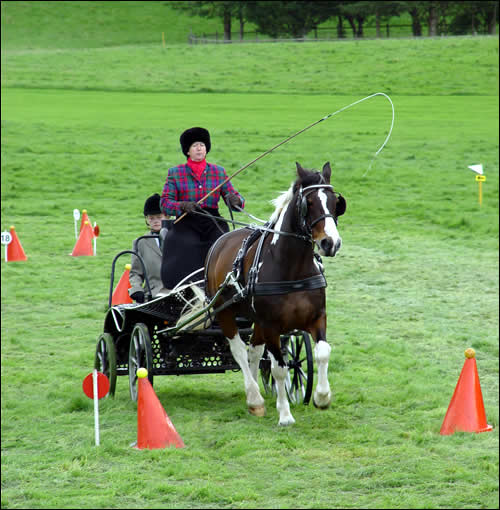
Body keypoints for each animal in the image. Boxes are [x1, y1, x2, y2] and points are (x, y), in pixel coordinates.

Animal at [205, 161, 346, 424]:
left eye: (335, 202)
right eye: (309, 202)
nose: (330, 243)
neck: (292, 268)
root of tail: (222, 241)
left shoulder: (316, 317)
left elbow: (322, 352)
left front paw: (322, 397)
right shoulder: (272, 325)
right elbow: (279, 368)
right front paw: (285, 415)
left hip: (257, 320)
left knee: (253, 350)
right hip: (224, 312)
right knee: (240, 351)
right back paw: (254, 398)